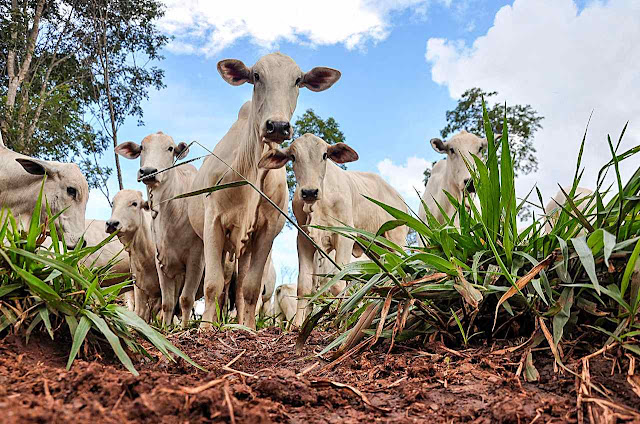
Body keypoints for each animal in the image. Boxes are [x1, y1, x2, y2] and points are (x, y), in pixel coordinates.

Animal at [115, 132, 204, 328]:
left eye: (170, 148)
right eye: (142, 147)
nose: (148, 171)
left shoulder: (196, 259)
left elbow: (186, 299)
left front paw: (184, 328)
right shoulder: (161, 261)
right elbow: (167, 303)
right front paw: (166, 328)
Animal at [188, 53, 342, 330]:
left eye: (298, 80)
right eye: (257, 76)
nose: (277, 126)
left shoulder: (267, 231)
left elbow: (250, 288)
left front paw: (248, 328)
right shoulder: (213, 223)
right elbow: (213, 284)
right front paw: (205, 328)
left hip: (245, 248)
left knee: (238, 288)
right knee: (222, 284)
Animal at [260, 134, 410, 326]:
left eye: (325, 155)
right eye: (293, 157)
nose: (310, 192)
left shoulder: (345, 236)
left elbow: (339, 283)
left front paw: (340, 320)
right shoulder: (304, 240)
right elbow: (304, 286)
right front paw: (298, 325)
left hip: (395, 239)